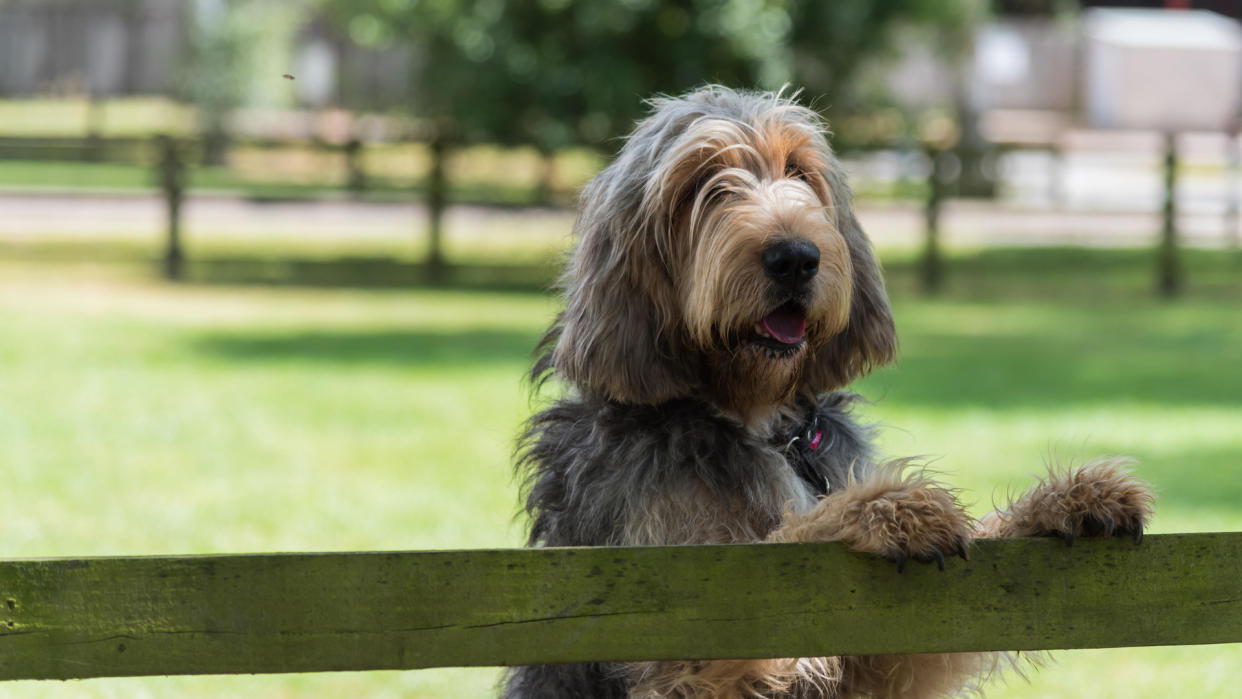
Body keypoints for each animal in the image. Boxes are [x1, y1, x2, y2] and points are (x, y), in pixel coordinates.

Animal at [499, 87, 1157, 699]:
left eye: (799, 170)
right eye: (702, 183)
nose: (795, 257)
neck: (760, 420)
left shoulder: (880, 658)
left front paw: (1066, 499)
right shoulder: (677, 626)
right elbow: (785, 542)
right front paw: (885, 510)